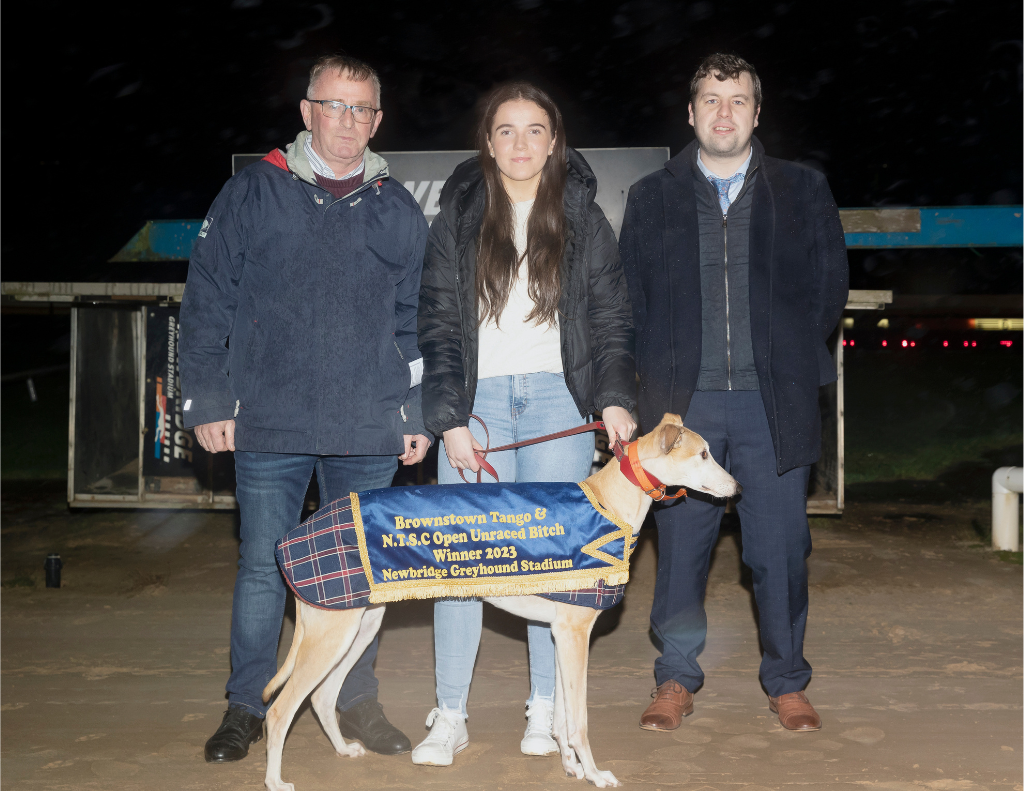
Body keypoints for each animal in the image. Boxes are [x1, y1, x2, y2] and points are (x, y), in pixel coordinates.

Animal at [256, 413, 737, 790]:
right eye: (703, 455)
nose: (737, 487)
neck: (608, 505)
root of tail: (292, 538)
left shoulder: (561, 635)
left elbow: (562, 718)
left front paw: (570, 766)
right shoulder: (576, 633)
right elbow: (578, 720)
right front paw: (595, 773)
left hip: (357, 627)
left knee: (321, 698)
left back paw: (343, 751)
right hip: (331, 634)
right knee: (279, 710)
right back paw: (275, 780)